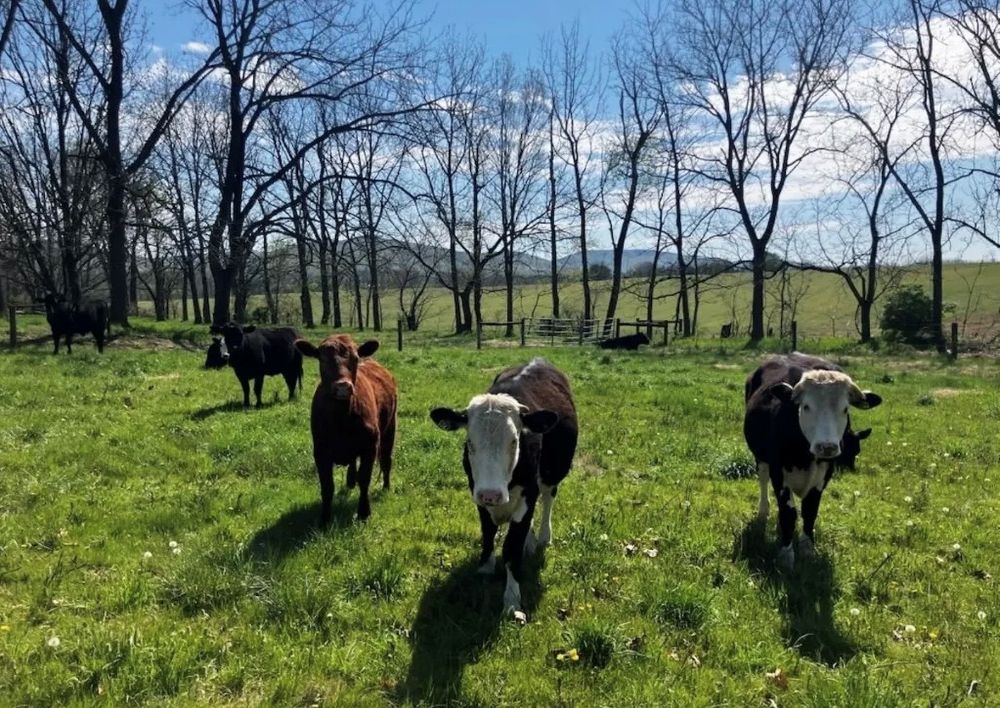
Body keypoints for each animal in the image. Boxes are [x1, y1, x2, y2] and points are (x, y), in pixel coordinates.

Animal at [295, 335, 397, 523]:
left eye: (355, 358)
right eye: (322, 359)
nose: (343, 386)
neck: (341, 418)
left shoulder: (370, 446)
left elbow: (364, 478)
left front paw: (364, 512)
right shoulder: (320, 450)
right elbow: (327, 486)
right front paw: (325, 519)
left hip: (390, 428)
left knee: (386, 460)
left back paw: (386, 487)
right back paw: (350, 481)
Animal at [430, 358, 578, 617]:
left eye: (514, 440)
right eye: (470, 442)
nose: (491, 494)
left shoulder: (528, 494)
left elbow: (512, 547)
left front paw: (511, 597)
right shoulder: (477, 492)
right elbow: (488, 532)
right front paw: (485, 568)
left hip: (552, 473)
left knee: (548, 498)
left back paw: (543, 537)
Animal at [744, 354, 882, 568]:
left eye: (845, 409)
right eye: (806, 406)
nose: (827, 447)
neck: (806, 455)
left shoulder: (824, 474)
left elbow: (810, 510)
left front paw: (807, 550)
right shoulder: (778, 471)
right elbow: (788, 513)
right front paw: (786, 555)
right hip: (761, 459)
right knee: (763, 480)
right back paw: (763, 512)